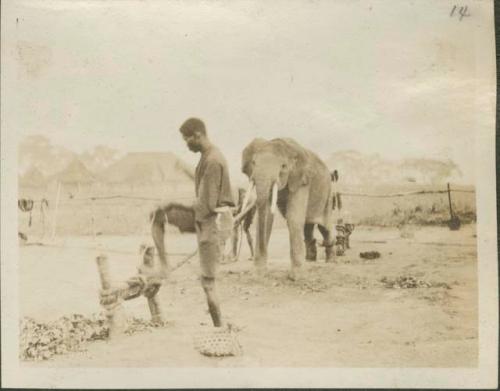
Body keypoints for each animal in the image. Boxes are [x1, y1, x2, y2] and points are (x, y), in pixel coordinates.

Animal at [240, 138, 334, 282]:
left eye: (283, 166)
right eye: (254, 163)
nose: (263, 273)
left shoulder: (301, 180)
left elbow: (293, 218)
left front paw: (297, 278)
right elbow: (267, 218)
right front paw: (258, 274)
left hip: (328, 194)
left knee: (324, 227)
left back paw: (330, 260)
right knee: (307, 227)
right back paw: (310, 259)